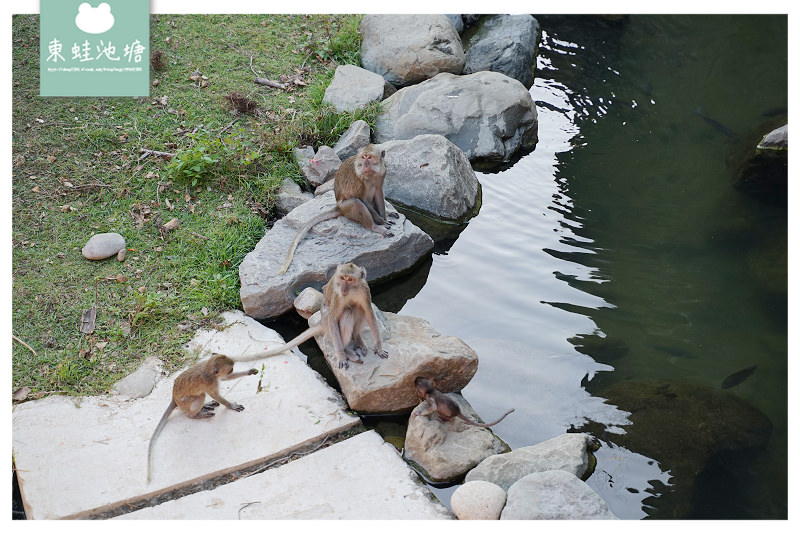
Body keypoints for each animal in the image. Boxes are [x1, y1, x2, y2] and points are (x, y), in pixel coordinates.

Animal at [145, 354, 255, 482]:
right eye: (231, 369)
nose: (233, 369)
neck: (207, 369)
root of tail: (174, 399)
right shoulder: (210, 382)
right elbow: (216, 395)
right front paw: (231, 406)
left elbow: (224, 379)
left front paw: (249, 372)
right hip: (185, 402)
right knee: (200, 396)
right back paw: (195, 415)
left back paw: (205, 406)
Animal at [234, 262, 388, 370]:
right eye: (342, 278)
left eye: (349, 279)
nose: (344, 288)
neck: (351, 291)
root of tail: (321, 322)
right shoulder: (338, 295)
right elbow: (333, 318)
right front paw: (341, 355)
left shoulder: (364, 290)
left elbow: (368, 312)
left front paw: (379, 347)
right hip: (326, 324)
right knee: (346, 313)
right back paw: (347, 351)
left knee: (358, 308)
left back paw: (357, 339)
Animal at [280, 143, 398, 272]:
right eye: (363, 157)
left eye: (370, 157)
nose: (365, 165)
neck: (371, 173)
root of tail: (338, 206)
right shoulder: (358, 177)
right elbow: (360, 198)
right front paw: (381, 221)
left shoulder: (382, 172)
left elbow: (378, 192)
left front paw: (385, 217)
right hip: (346, 209)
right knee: (356, 202)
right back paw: (373, 227)